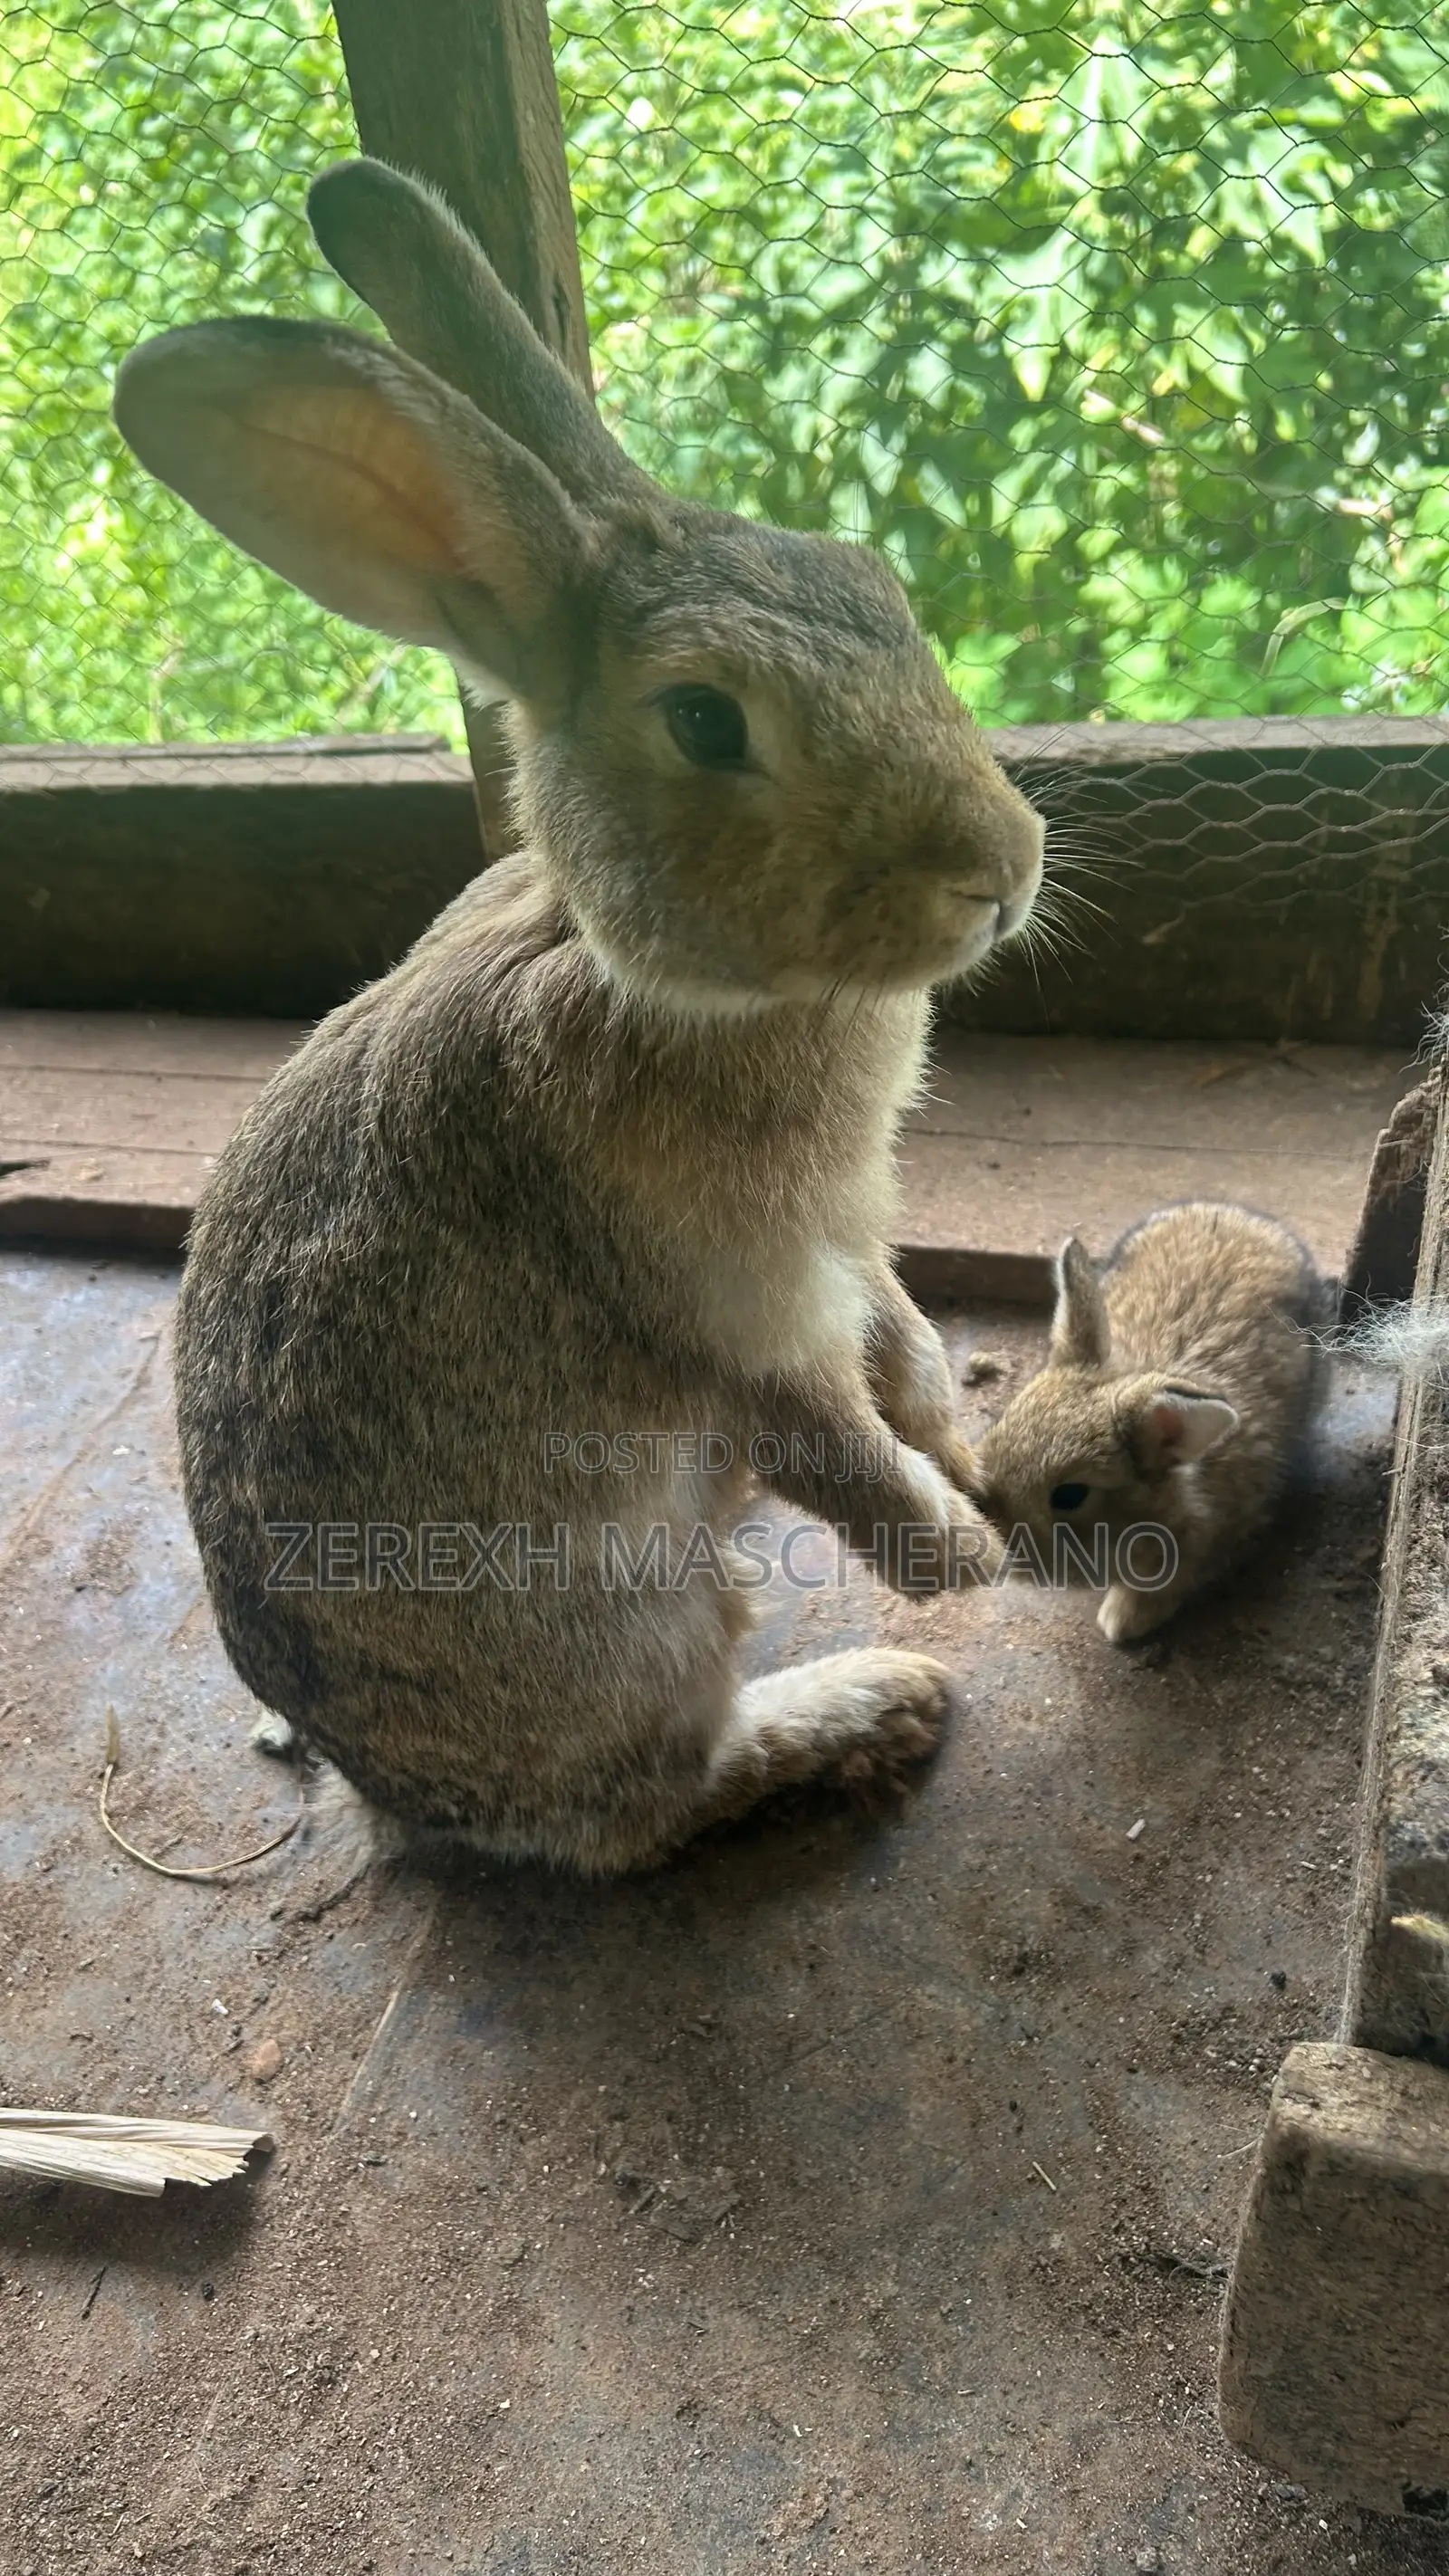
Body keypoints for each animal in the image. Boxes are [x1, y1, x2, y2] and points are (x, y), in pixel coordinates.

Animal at [111, 157, 1045, 1875]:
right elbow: (843, 1453)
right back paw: (871, 1706)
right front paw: (968, 1554)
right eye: (705, 722)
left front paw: (978, 1454)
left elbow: (909, 1355)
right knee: (659, 1794)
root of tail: (400, 1796)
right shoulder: (738, 1309)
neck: (662, 977)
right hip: (622, 1616)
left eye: (873, 585)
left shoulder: (851, 1242)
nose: (1001, 870)